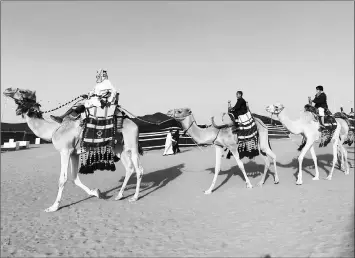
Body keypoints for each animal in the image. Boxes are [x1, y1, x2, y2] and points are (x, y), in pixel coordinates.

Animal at [2, 86, 145, 212]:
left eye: (22, 91)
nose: (7, 90)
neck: (53, 130)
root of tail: (134, 124)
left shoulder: (65, 151)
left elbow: (63, 179)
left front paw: (53, 207)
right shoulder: (74, 153)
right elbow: (75, 177)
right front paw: (96, 192)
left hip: (132, 145)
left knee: (139, 169)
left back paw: (134, 197)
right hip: (119, 148)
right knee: (129, 168)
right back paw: (119, 195)